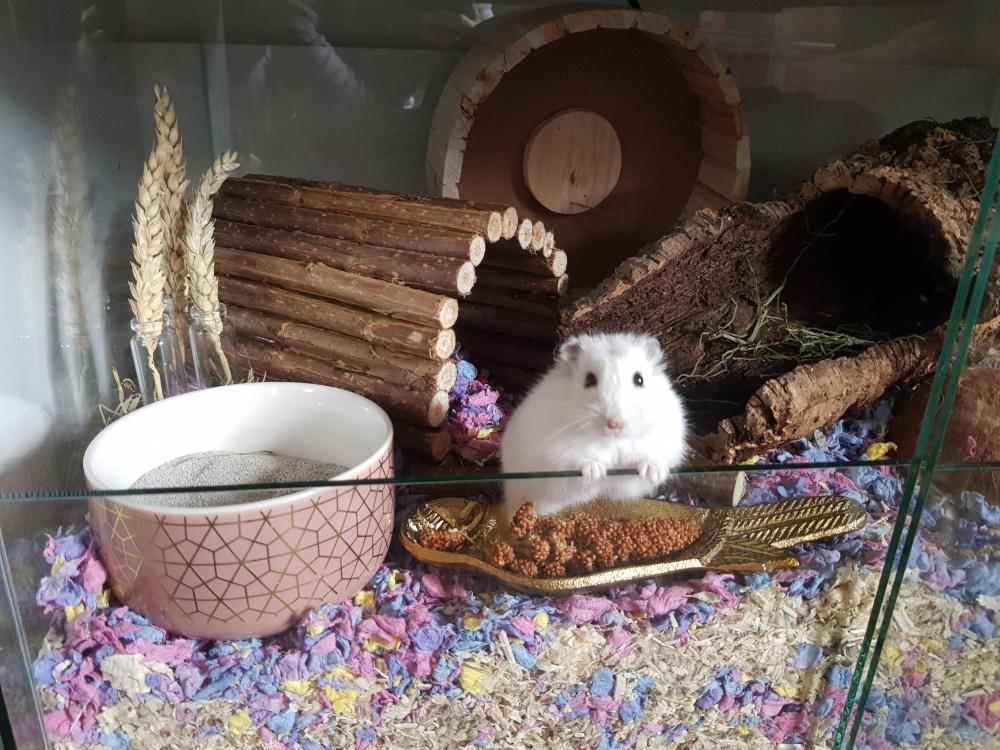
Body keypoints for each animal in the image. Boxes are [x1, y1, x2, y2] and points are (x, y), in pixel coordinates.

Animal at [500, 332, 687, 522]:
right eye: (589, 379)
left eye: (639, 379)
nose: (615, 424)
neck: (611, 440)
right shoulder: (558, 457)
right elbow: (579, 458)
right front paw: (595, 471)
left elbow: (649, 459)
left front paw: (653, 471)